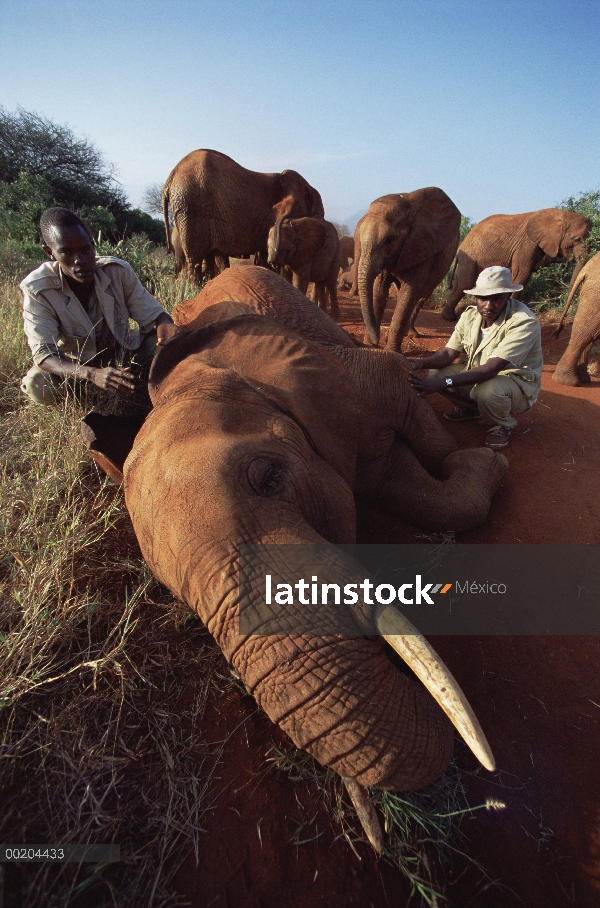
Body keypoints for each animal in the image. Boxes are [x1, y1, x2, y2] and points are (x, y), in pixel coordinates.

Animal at [84, 268, 506, 852]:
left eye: (269, 477)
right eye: (178, 598)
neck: (208, 373)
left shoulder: (349, 384)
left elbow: (406, 406)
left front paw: (479, 459)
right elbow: (397, 482)